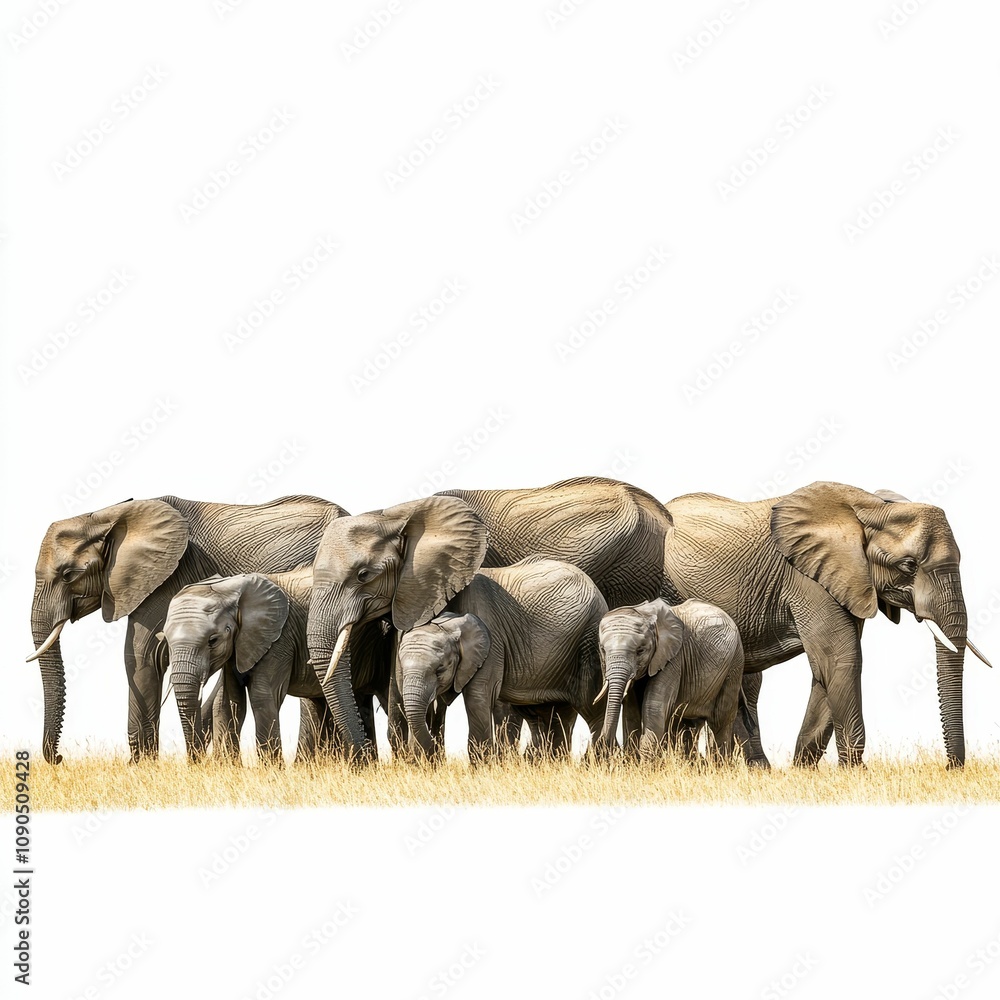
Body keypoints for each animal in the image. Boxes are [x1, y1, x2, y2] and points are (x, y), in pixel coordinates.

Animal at [28, 494, 347, 763]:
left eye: (68, 574)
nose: (59, 758)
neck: (109, 515)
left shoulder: (166, 576)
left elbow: (141, 656)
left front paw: (142, 767)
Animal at [389, 558, 608, 761]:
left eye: (440, 669)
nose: (436, 749)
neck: (447, 620)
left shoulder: (492, 643)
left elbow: (477, 699)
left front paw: (482, 767)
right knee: (550, 715)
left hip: (588, 640)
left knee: (591, 708)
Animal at [596, 599, 743, 762]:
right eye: (602, 649)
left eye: (640, 650)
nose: (604, 746)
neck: (644, 612)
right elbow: (631, 711)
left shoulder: (674, 658)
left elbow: (654, 706)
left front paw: (646, 764)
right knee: (684, 723)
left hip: (734, 664)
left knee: (719, 720)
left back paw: (720, 764)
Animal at [659, 481, 990, 767]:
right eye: (908, 565)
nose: (951, 767)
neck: (870, 508)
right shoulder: (809, 579)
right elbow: (841, 660)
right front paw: (855, 772)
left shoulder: (848, 582)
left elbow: (826, 669)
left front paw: (803, 769)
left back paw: (758, 769)